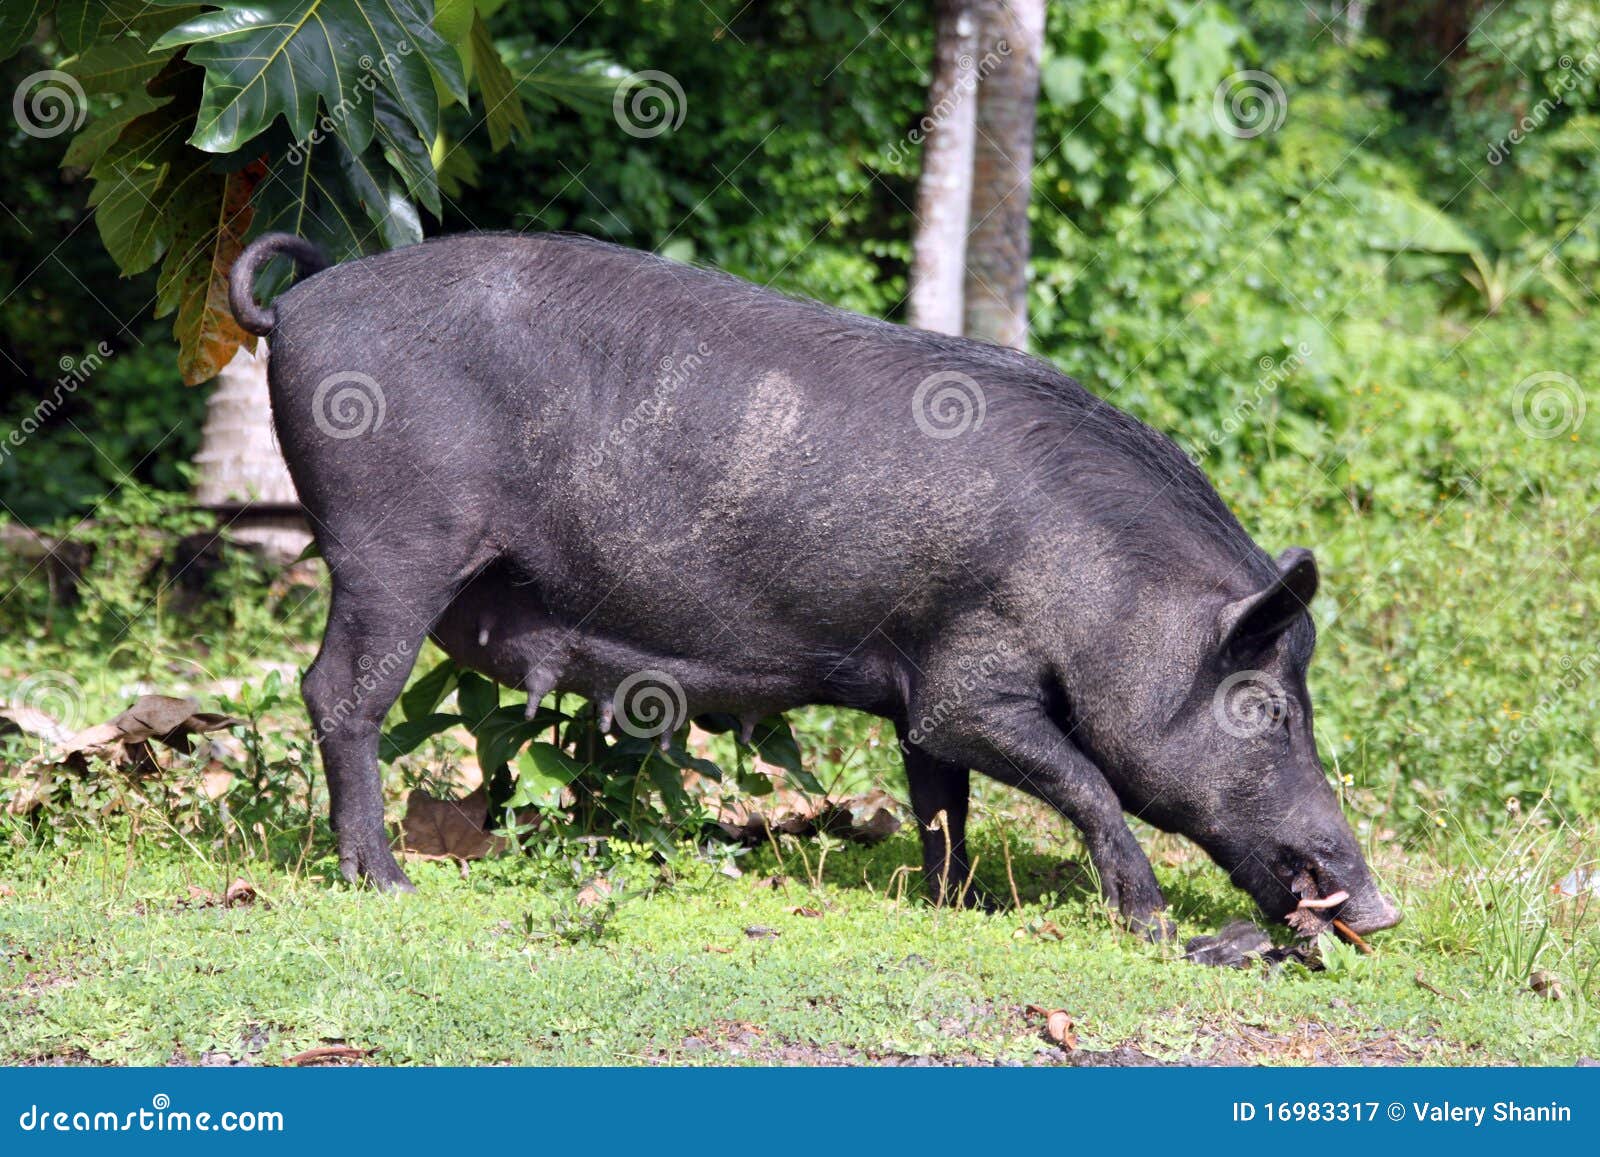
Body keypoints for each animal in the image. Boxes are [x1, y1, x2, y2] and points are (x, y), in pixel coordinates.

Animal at [230, 230, 1401, 939]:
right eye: (1268, 704)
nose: (1385, 910)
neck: (1107, 600)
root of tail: (300, 305)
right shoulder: (971, 677)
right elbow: (1085, 779)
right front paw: (1149, 922)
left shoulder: (922, 688)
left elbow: (941, 799)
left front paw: (955, 903)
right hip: (391, 544)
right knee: (339, 691)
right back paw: (385, 879)